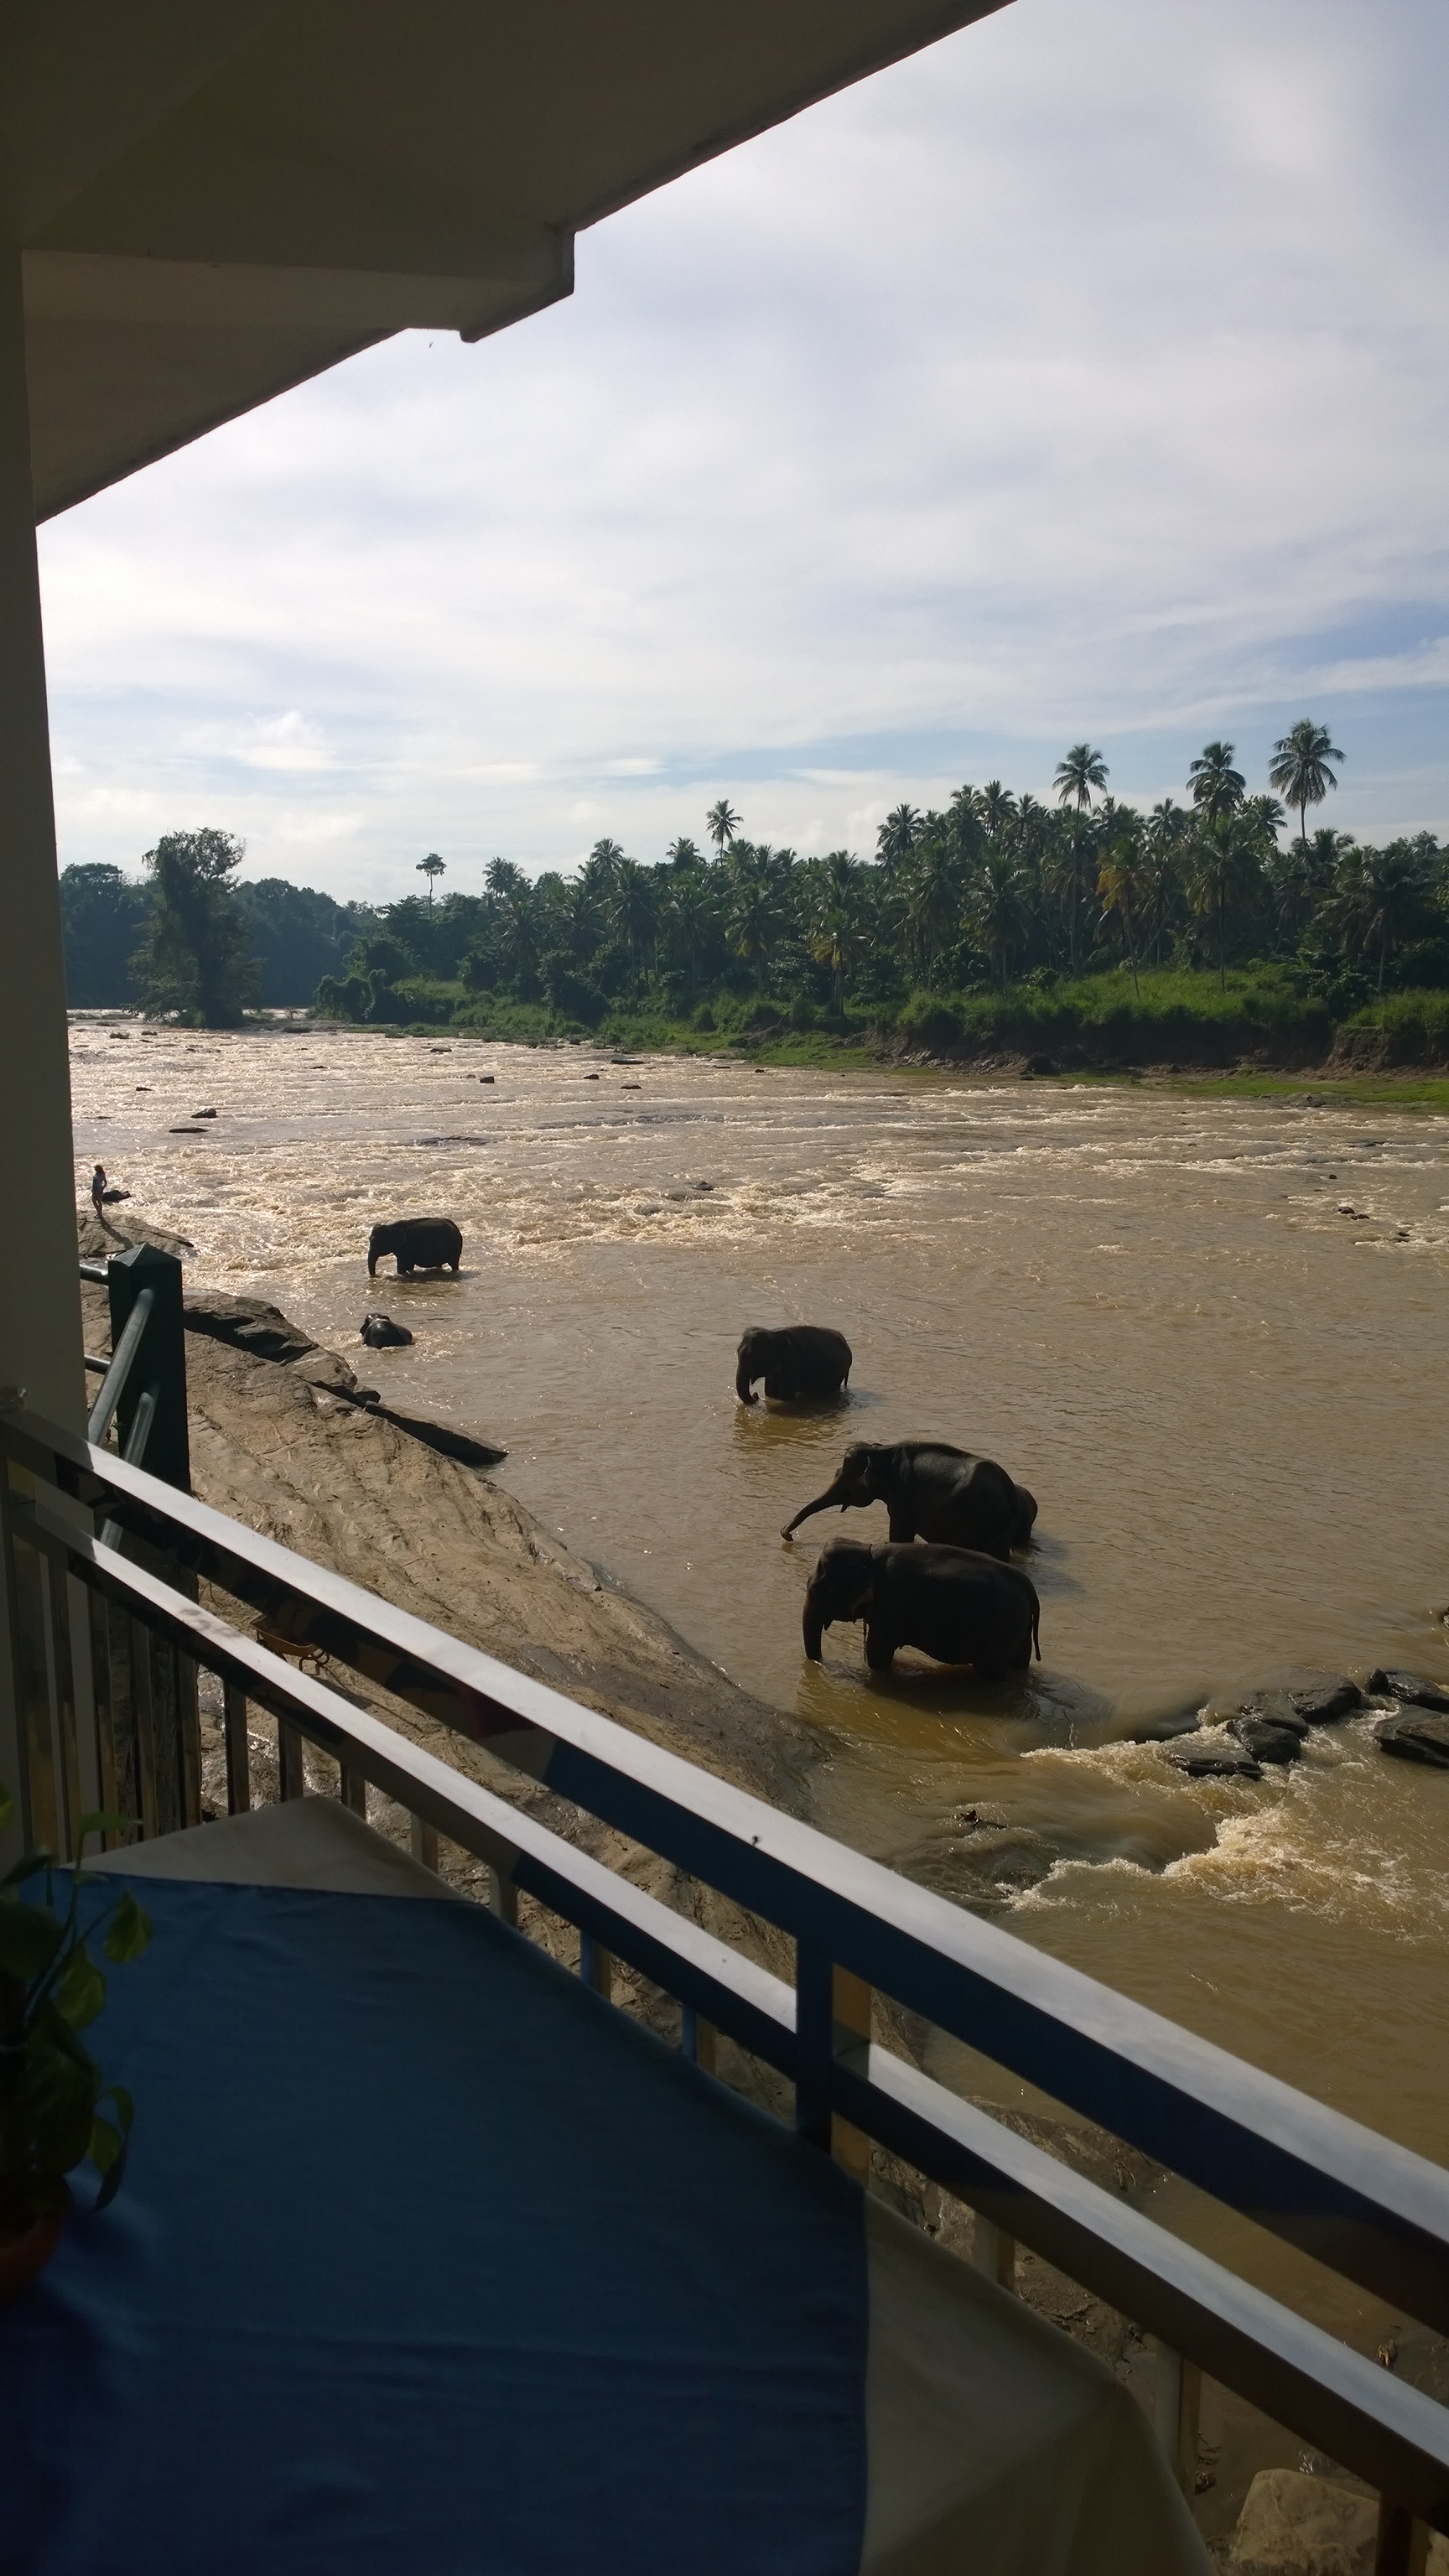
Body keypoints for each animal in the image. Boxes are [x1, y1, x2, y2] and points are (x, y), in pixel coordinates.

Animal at [732, 1329, 845, 1411]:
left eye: (752, 1357)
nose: (755, 1394)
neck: (772, 1334)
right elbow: (770, 1392)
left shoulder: (793, 1363)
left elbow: (785, 1396)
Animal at [783, 1442, 1031, 1555]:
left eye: (843, 1479)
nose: (788, 1535)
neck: (881, 1451)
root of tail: (1010, 1491)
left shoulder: (902, 1495)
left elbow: (900, 1534)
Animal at [799, 1535, 1036, 1679]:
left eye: (821, 1589)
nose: (821, 1662)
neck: (866, 1550)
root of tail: (1027, 1585)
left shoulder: (890, 1604)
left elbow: (878, 1653)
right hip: (1020, 1628)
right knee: (1020, 1662)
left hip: (1000, 1630)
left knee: (991, 1670)